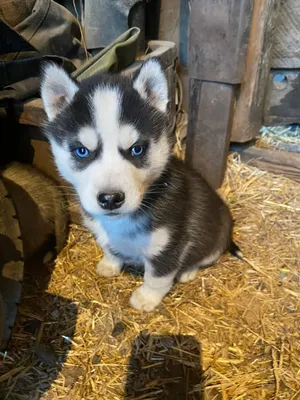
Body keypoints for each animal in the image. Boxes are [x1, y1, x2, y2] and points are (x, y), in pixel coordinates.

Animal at [40, 61, 237, 312]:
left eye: (137, 149)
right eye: (82, 151)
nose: (110, 199)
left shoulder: (168, 245)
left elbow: (157, 277)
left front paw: (146, 298)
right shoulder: (103, 233)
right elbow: (110, 248)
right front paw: (110, 264)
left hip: (216, 236)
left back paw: (188, 272)